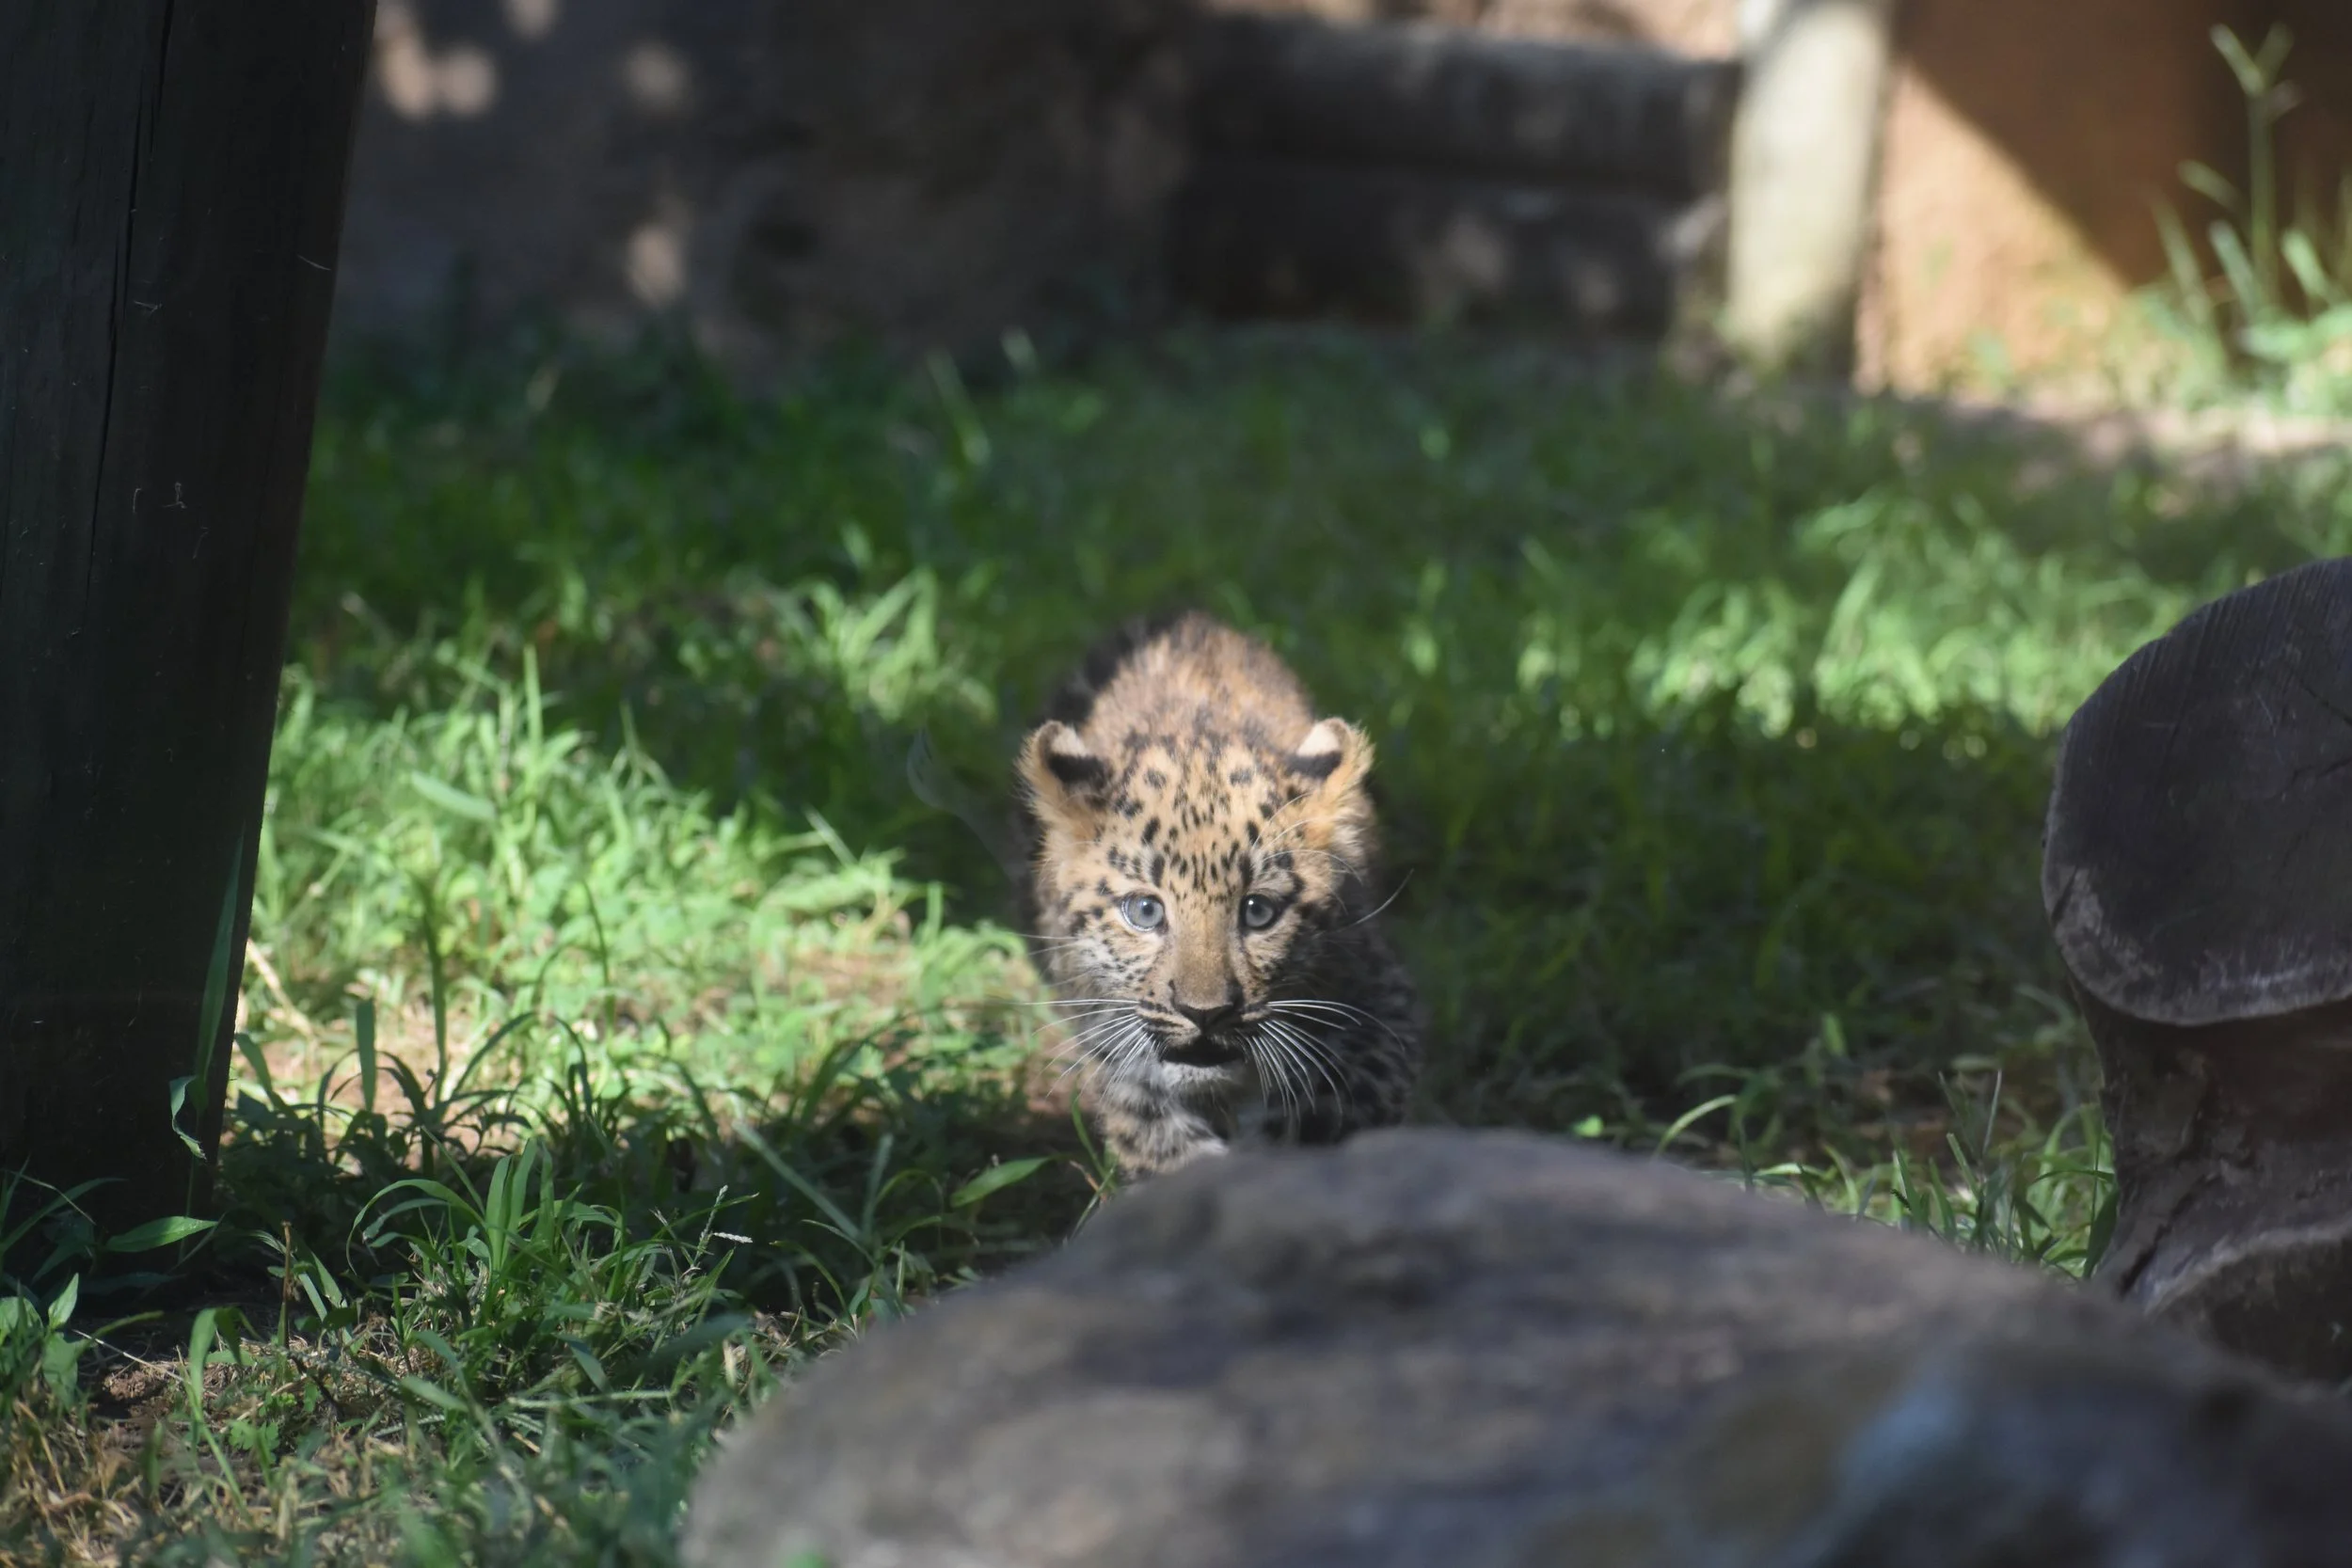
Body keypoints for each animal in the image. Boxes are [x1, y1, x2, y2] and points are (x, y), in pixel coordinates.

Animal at [1013, 612, 1422, 1176]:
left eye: (1259, 912)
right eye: (1145, 911)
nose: (1203, 1013)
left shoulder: (1382, 1008)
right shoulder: (1111, 1042)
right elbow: (1153, 1137)